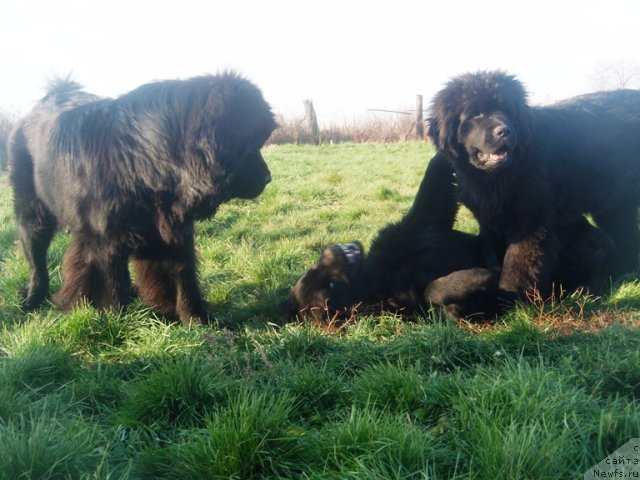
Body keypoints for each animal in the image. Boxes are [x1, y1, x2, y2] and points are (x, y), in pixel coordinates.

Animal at [8, 71, 276, 324]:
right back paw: (33, 299)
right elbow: (111, 286)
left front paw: (197, 320)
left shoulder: (172, 234)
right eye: (248, 146)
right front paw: (113, 323)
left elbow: (184, 279)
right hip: (33, 215)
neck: (141, 164)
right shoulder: (104, 241)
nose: (268, 178)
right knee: (36, 261)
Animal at [418, 71, 640, 296]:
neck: (495, 178)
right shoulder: (489, 218)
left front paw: (511, 295)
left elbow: (517, 261)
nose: (504, 131)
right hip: (615, 205)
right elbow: (494, 254)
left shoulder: (530, 218)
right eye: (477, 114)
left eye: (508, 111)